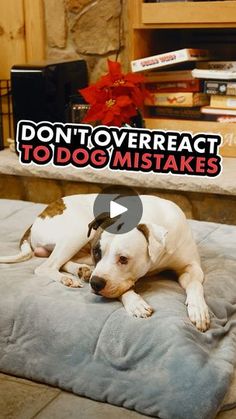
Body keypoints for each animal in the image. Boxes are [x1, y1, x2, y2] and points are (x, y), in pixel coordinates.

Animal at [0, 195, 210, 334]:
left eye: (123, 259)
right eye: (97, 252)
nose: (95, 284)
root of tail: (40, 215)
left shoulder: (191, 268)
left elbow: (195, 285)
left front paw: (198, 309)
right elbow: (121, 288)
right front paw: (135, 303)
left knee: (62, 261)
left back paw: (81, 271)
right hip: (78, 231)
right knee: (46, 266)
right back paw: (69, 278)